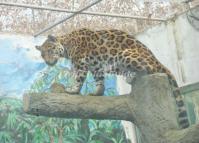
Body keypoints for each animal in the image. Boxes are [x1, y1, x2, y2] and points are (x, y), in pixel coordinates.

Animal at [35, 27, 190, 128]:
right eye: (42, 55)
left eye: (50, 50)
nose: (48, 62)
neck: (67, 45)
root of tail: (156, 59)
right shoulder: (96, 66)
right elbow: (99, 80)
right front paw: (98, 93)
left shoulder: (81, 63)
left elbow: (79, 78)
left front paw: (73, 90)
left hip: (124, 55)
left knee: (149, 69)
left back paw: (132, 76)